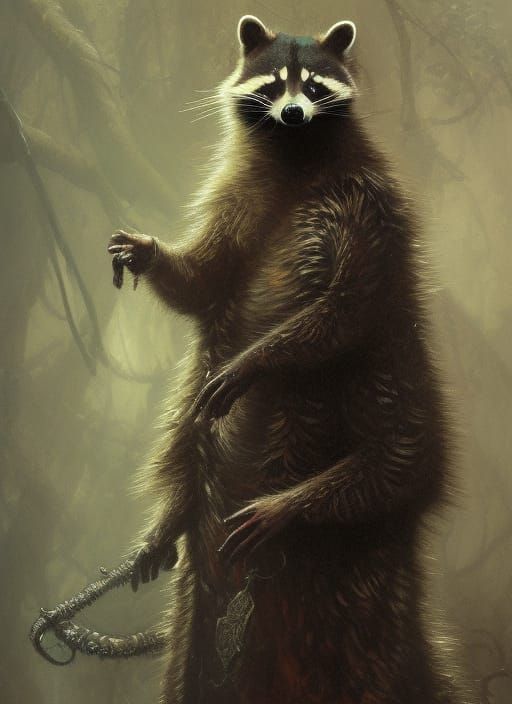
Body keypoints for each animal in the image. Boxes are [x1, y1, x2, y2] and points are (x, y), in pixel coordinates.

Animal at [108, 15, 470, 704]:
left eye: (317, 84)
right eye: (275, 83)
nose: (295, 112)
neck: (293, 158)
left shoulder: (369, 209)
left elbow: (344, 308)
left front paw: (259, 358)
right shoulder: (235, 205)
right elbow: (205, 281)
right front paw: (150, 253)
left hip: (379, 410)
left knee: (387, 459)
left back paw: (295, 503)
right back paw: (172, 524)